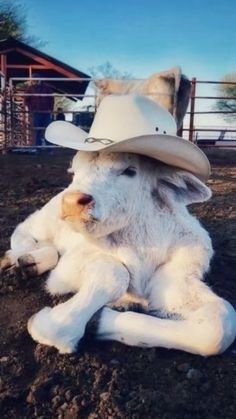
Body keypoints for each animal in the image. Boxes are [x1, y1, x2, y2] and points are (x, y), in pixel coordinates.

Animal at [1, 151, 236, 354]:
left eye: (130, 171)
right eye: (74, 171)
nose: (71, 202)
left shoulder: (178, 280)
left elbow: (220, 327)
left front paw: (99, 320)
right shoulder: (65, 271)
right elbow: (115, 272)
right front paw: (53, 324)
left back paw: (28, 263)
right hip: (45, 220)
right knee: (24, 230)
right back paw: (15, 258)